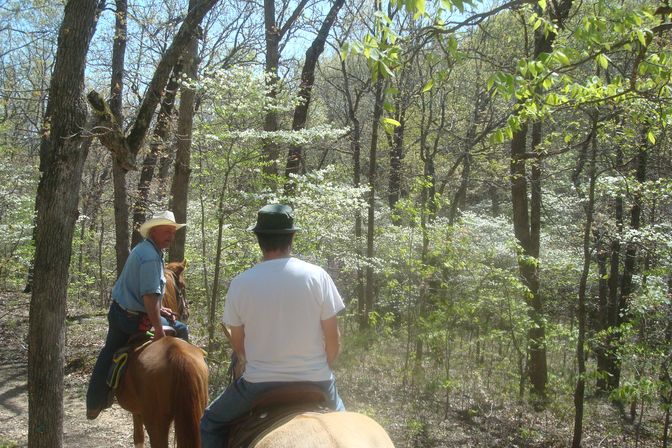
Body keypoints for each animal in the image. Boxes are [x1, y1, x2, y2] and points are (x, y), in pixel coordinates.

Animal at [114, 260, 207, 446]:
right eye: (183, 286)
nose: (187, 312)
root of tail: (176, 355)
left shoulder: (137, 412)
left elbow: (138, 438)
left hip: (156, 423)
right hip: (198, 413)